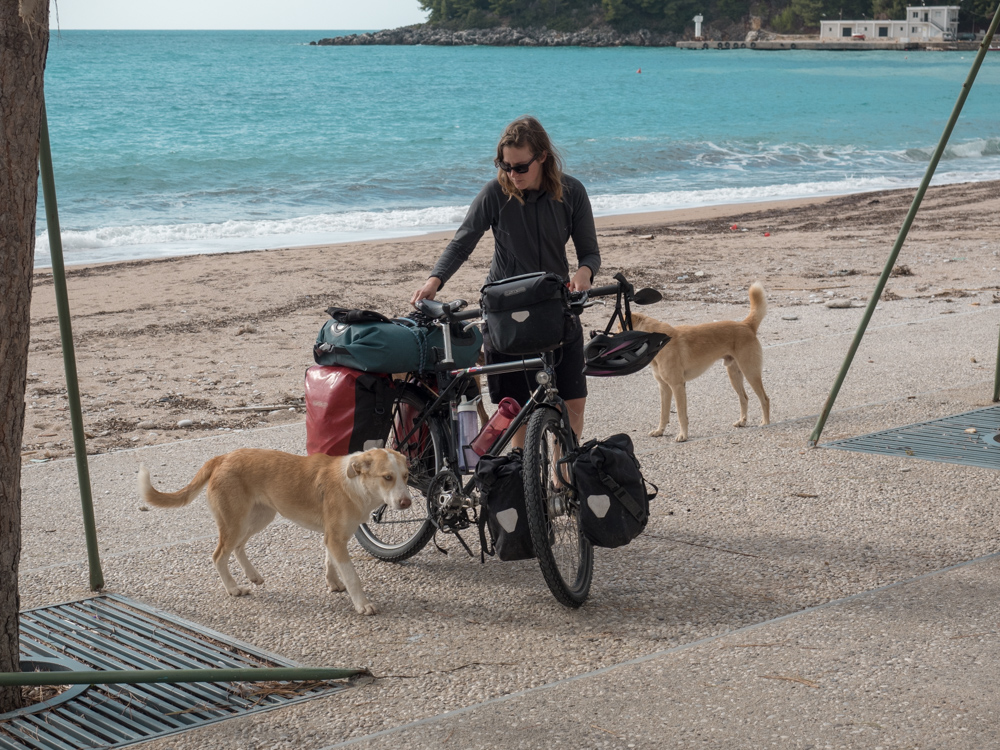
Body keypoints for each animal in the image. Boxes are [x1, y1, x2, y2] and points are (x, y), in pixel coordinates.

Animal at [138, 446, 410, 616]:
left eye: (407, 476)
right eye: (387, 477)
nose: (406, 502)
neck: (355, 483)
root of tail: (223, 457)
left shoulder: (333, 537)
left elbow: (329, 562)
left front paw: (333, 583)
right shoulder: (335, 538)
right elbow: (353, 576)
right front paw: (362, 604)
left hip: (259, 517)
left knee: (238, 547)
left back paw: (253, 575)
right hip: (236, 522)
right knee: (218, 556)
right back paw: (233, 589)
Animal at [632, 284, 772, 444]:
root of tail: (746, 325)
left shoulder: (677, 386)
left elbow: (681, 415)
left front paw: (683, 435)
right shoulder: (664, 387)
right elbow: (664, 414)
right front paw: (659, 431)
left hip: (750, 372)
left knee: (765, 399)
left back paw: (765, 423)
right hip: (734, 375)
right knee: (744, 398)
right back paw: (742, 421)